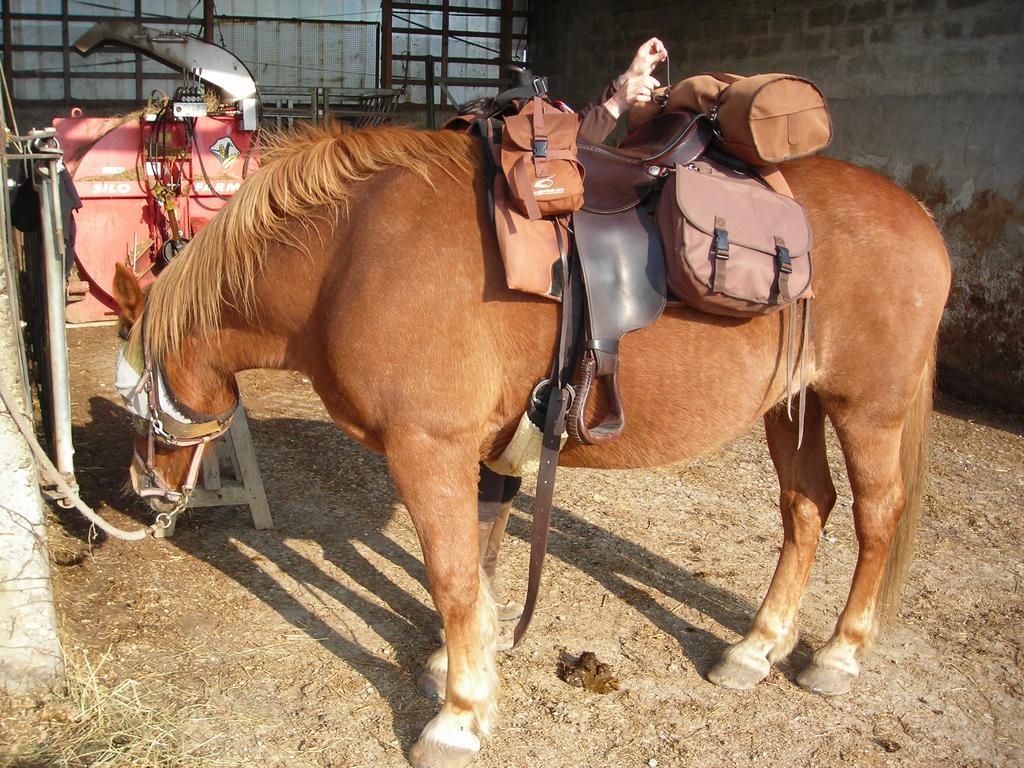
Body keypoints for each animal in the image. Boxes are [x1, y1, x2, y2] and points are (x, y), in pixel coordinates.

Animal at [110, 124, 950, 768]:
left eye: (132, 394)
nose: (141, 492)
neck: (348, 257)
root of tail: (917, 216)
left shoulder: (428, 450)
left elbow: (452, 578)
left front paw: (459, 717)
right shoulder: (483, 454)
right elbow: (480, 566)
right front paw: (459, 667)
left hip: (866, 411)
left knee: (875, 517)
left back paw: (838, 654)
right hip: (791, 408)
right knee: (807, 509)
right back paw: (756, 647)